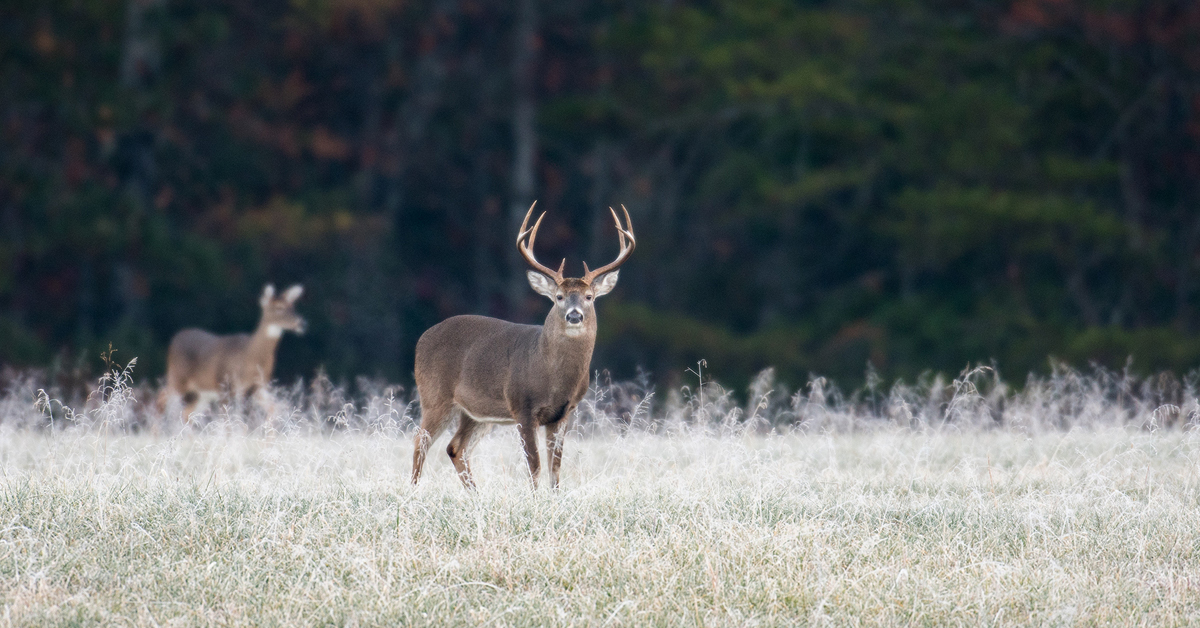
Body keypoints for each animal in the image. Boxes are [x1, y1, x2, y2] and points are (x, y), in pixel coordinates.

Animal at [159, 285, 307, 425]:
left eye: (293, 307)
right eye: (279, 307)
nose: (302, 323)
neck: (250, 356)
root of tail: (175, 338)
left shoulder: (258, 386)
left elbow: (275, 409)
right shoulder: (225, 384)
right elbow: (230, 421)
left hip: (201, 393)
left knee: (185, 413)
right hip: (178, 377)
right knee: (162, 400)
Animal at [412, 204, 633, 489]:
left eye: (589, 297)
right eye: (559, 297)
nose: (574, 316)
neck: (551, 375)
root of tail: (422, 339)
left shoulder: (563, 413)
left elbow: (555, 469)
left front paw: (554, 497)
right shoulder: (523, 407)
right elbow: (535, 466)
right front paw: (534, 497)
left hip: (476, 412)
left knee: (455, 447)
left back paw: (476, 495)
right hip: (434, 395)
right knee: (420, 442)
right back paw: (413, 492)